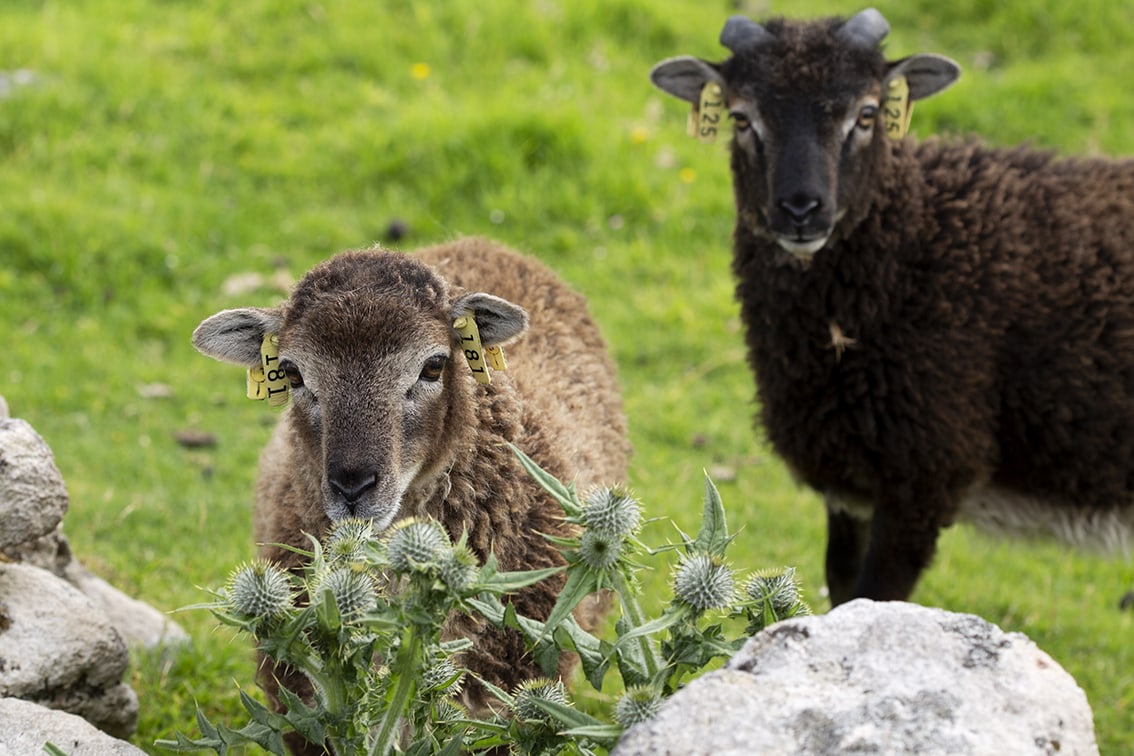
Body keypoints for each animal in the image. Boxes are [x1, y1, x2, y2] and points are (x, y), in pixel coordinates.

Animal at [648, 8, 1134, 607]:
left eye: (867, 113)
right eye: (742, 117)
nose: (801, 209)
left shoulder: (925, 474)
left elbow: (875, 596)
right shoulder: (850, 481)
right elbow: (842, 589)